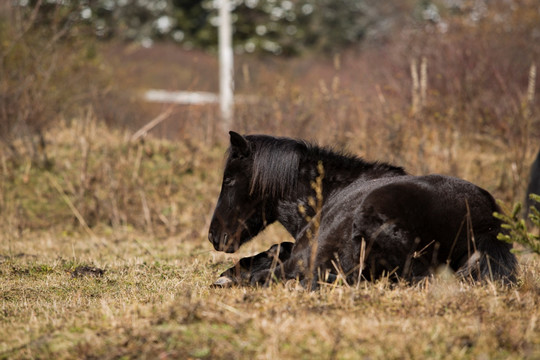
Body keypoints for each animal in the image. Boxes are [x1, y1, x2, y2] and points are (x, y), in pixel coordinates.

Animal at [208, 131, 520, 288]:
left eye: (229, 180)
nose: (214, 236)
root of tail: (487, 226)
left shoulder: (306, 254)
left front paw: (231, 276)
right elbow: (276, 248)